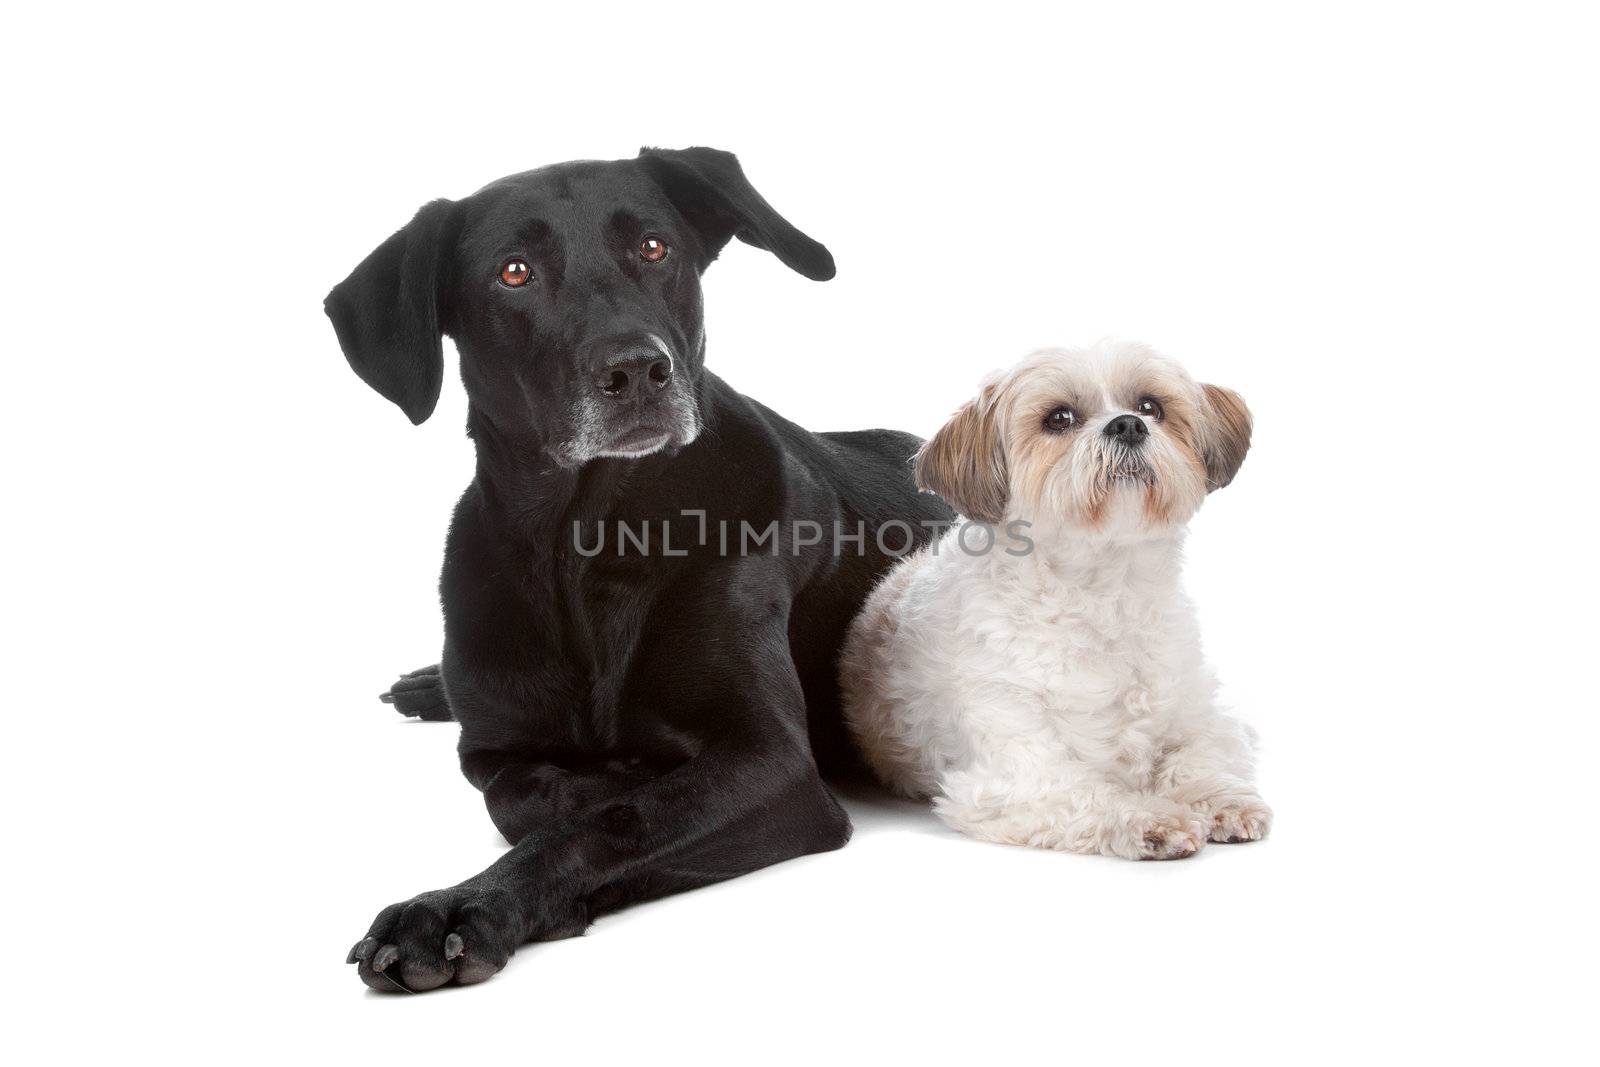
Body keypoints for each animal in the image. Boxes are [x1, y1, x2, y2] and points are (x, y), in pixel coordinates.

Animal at [324, 147, 947, 991]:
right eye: (514, 272)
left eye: (655, 248)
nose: (638, 369)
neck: (586, 541)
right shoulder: (493, 751)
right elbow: (523, 793)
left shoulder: (775, 762)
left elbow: (614, 819)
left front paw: (465, 904)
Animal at [838, 347, 1273, 863]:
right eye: (1059, 418)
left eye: (1150, 407)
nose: (1127, 425)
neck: (1103, 593)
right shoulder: (1017, 773)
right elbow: (1089, 793)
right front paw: (1148, 819)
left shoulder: (1207, 717)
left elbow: (1197, 756)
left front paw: (1220, 800)